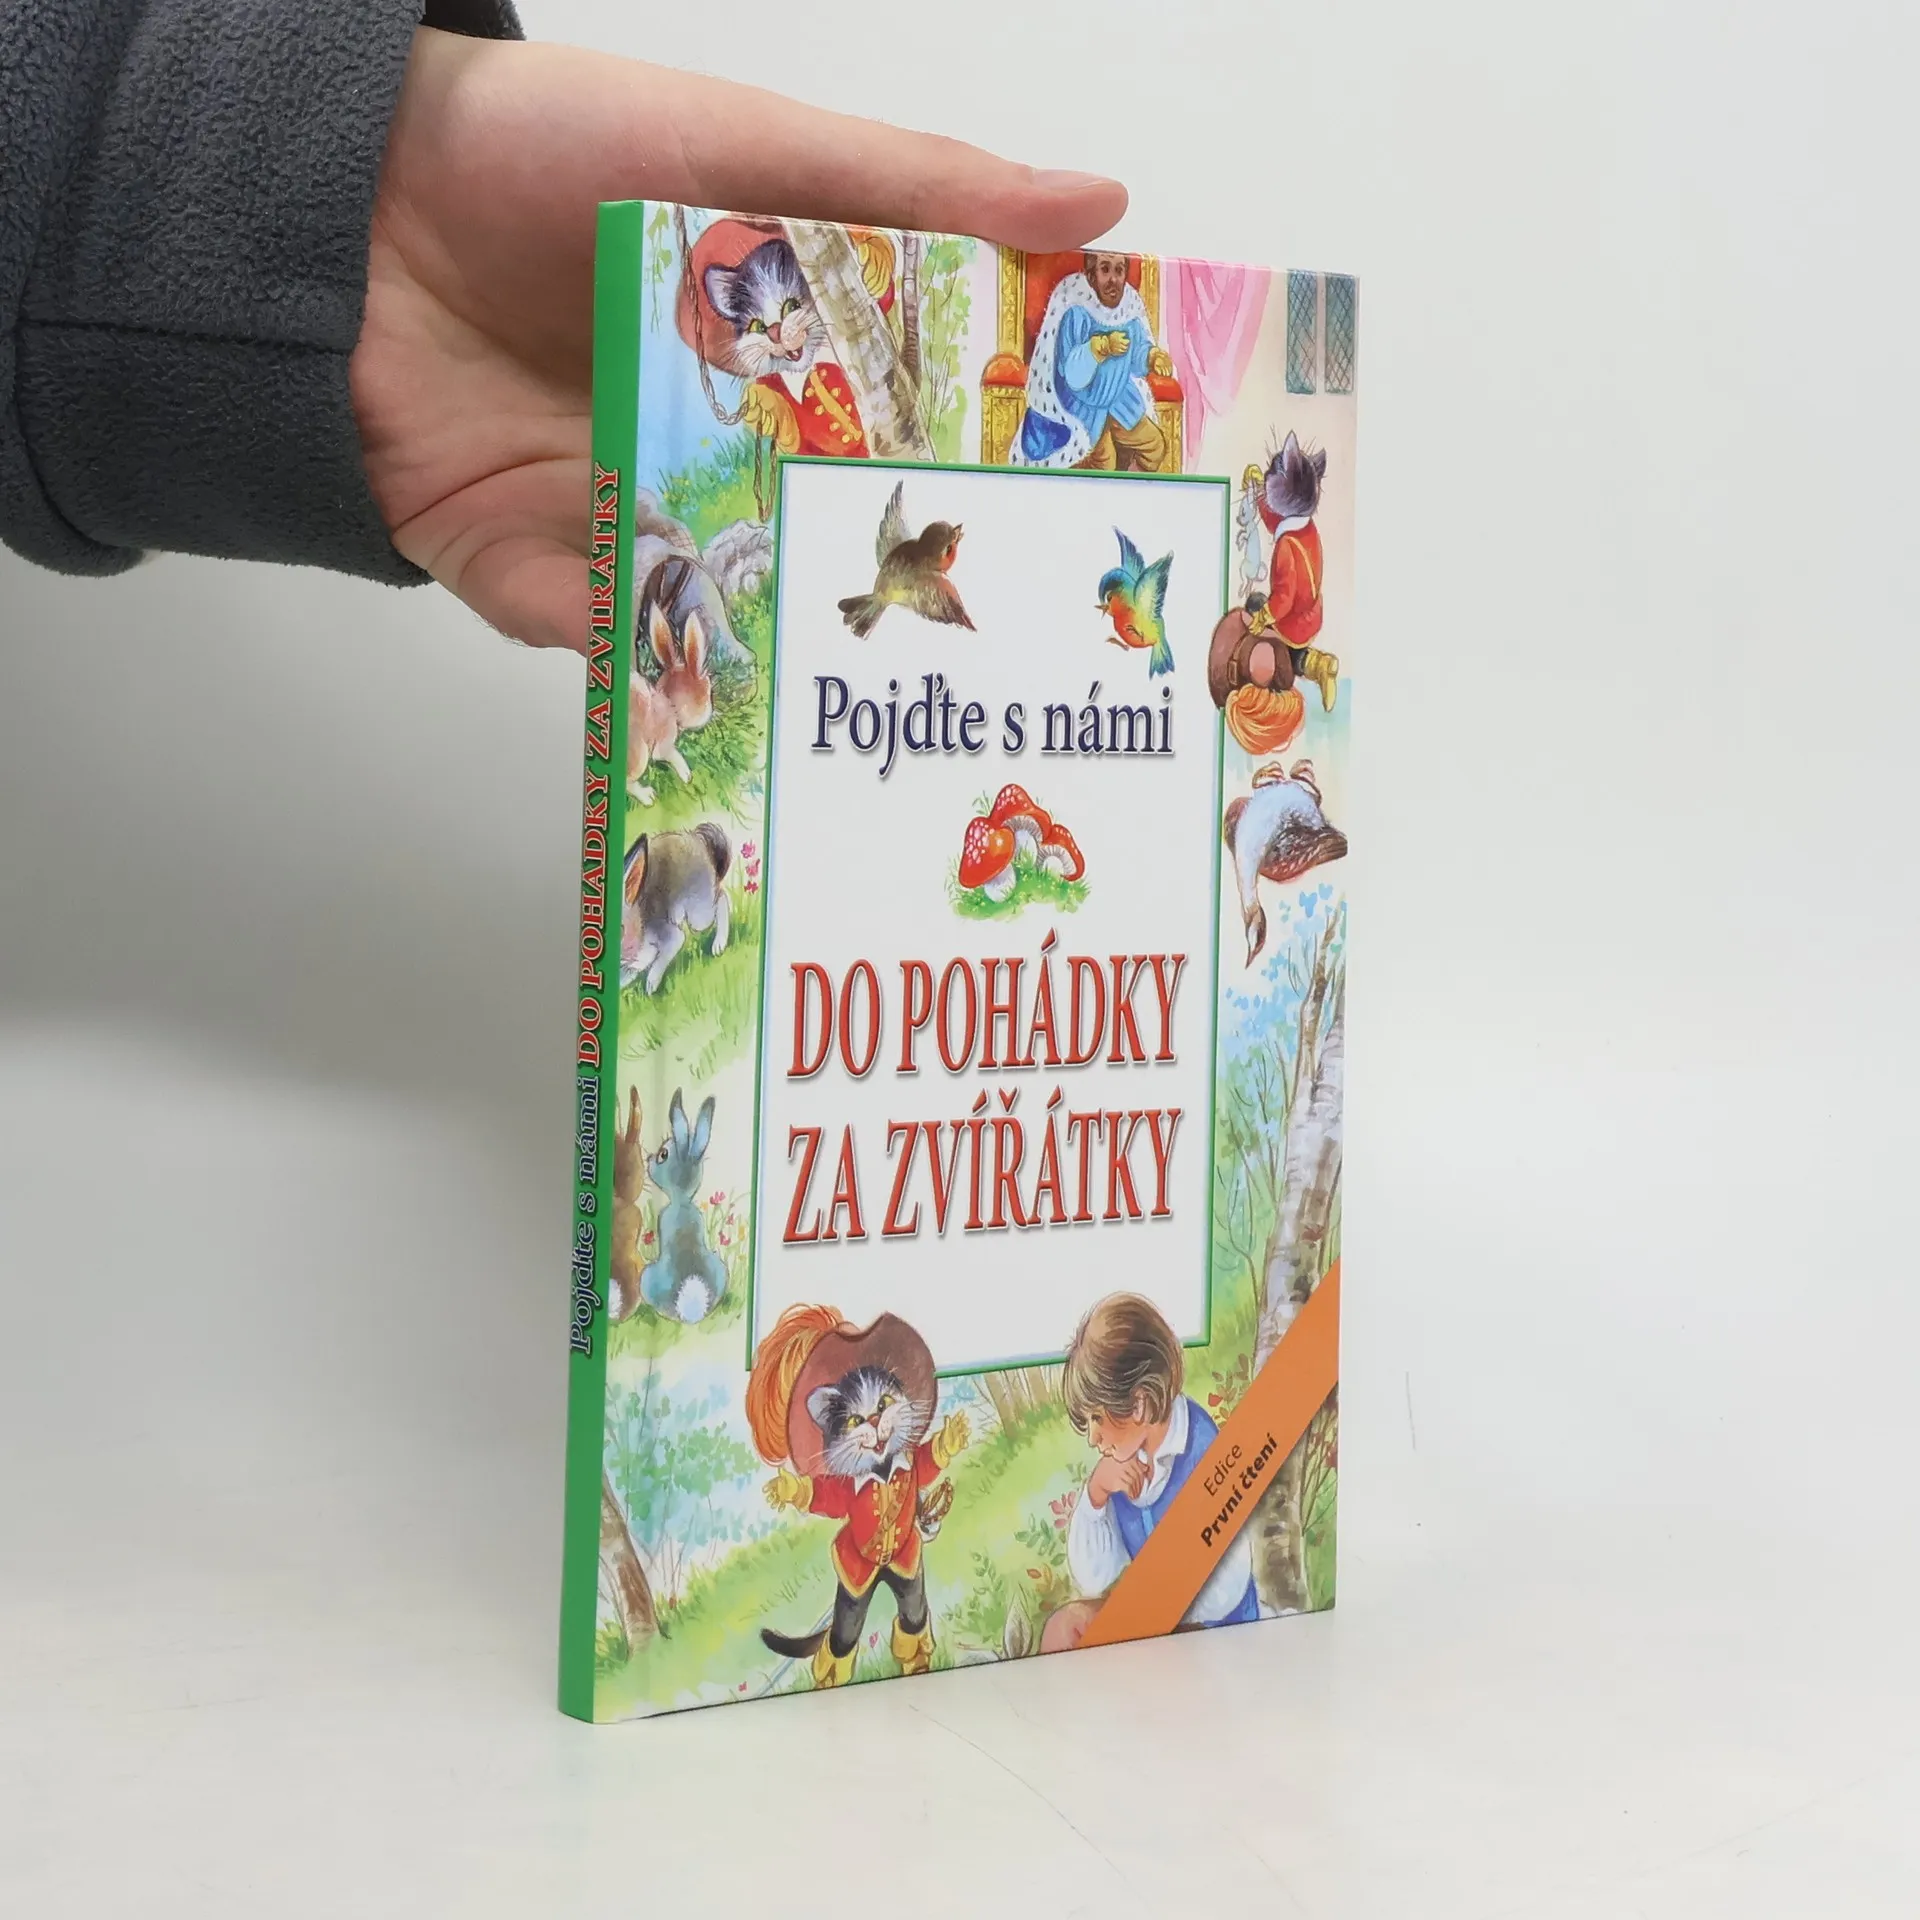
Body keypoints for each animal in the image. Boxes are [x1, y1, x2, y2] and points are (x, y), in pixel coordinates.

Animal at [620, 824, 731, 994]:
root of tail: (697, 839)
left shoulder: (669, 936)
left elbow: (662, 957)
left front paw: (651, 986)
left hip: (698, 914)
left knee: (721, 899)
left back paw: (718, 945)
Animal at [628, 593, 714, 805]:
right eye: (709, 693)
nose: (712, 711)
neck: (671, 704)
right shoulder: (665, 742)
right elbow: (672, 755)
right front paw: (687, 776)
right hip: (639, 756)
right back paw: (648, 797)